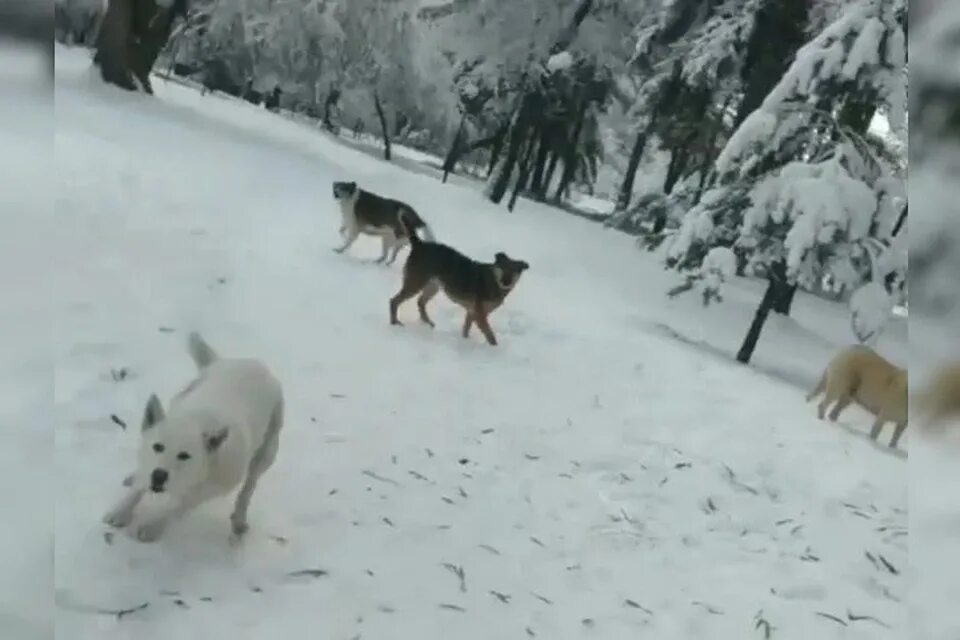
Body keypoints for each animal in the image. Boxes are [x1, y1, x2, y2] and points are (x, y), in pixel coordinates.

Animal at [106, 332, 284, 544]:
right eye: (157, 446)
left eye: (184, 456)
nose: (159, 475)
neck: (196, 420)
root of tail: (253, 363)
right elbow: (138, 486)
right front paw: (121, 511)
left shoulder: (213, 487)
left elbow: (179, 505)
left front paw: (152, 527)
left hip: (267, 451)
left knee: (248, 488)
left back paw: (239, 519)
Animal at [386, 214, 528, 344]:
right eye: (502, 268)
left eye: (515, 271)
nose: (506, 282)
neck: (493, 280)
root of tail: (419, 244)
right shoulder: (479, 314)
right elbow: (490, 336)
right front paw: (493, 350)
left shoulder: (472, 312)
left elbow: (466, 329)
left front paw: (464, 342)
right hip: (416, 283)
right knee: (394, 301)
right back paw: (395, 323)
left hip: (433, 286)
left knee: (420, 302)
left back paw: (428, 324)